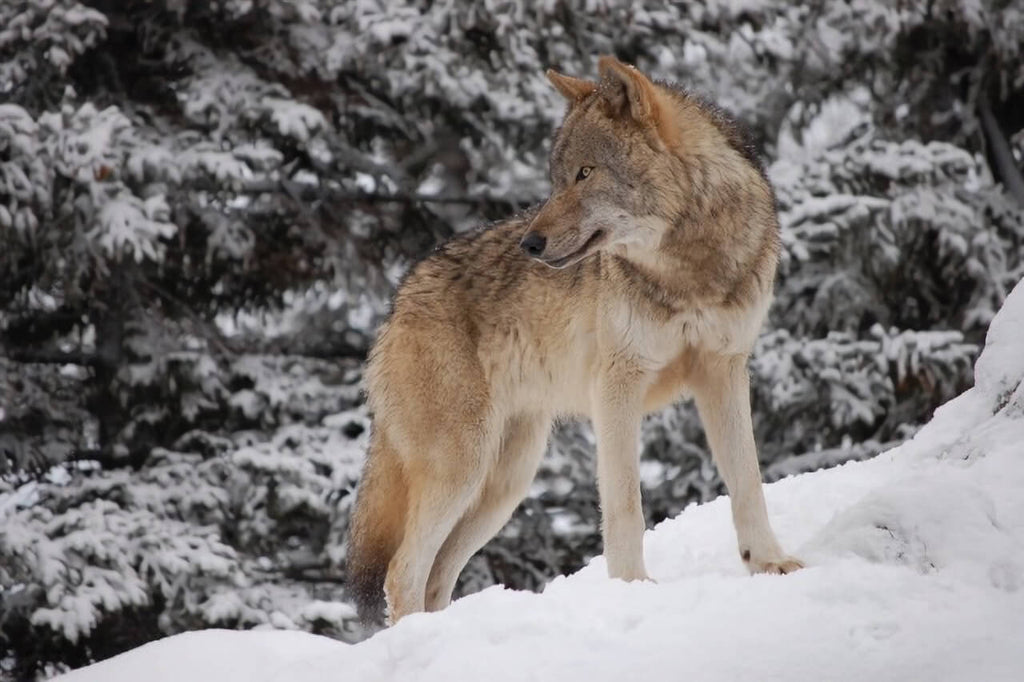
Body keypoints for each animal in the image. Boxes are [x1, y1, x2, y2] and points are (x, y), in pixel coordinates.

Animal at [348, 57, 802, 622]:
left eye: (585, 173)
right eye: (557, 178)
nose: (530, 244)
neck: (686, 270)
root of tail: (399, 298)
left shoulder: (726, 371)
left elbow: (748, 482)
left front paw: (769, 563)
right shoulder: (617, 385)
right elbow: (626, 503)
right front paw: (632, 586)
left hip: (505, 483)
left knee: (435, 577)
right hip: (464, 468)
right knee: (402, 572)